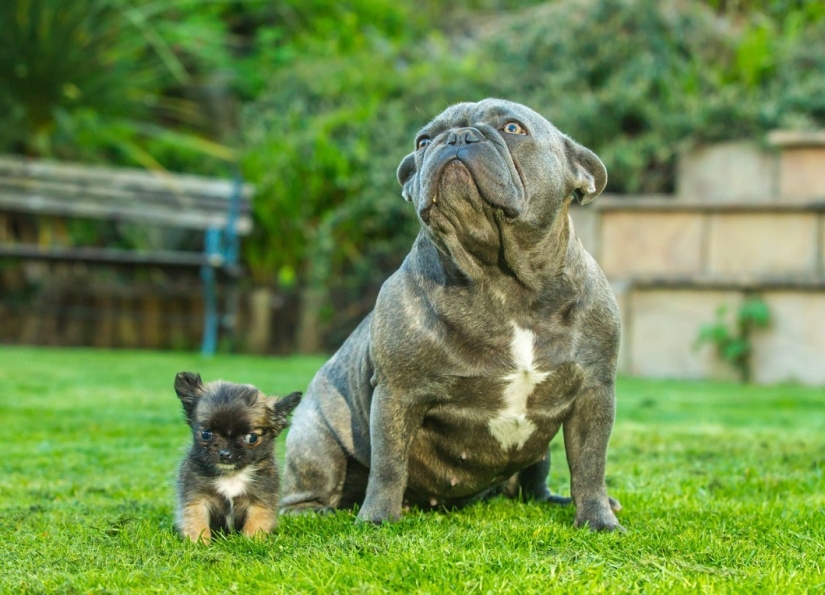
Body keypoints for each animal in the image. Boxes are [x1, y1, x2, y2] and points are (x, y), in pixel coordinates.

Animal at [174, 372, 302, 544]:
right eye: (206, 434)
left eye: (251, 438)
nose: (225, 453)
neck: (232, 475)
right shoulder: (197, 499)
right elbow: (197, 524)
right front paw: (200, 544)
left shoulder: (260, 501)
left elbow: (255, 524)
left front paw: (251, 543)